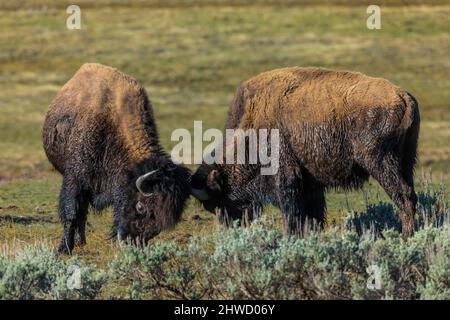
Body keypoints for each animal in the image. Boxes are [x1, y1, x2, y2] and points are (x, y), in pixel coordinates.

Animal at [192, 67, 420, 238]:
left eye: (219, 201)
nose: (232, 227)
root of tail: (404, 97)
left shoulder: (286, 178)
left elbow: (292, 214)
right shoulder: (311, 185)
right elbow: (314, 216)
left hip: (378, 161)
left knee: (403, 195)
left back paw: (405, 236)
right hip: (406, 161)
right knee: (410, 192)